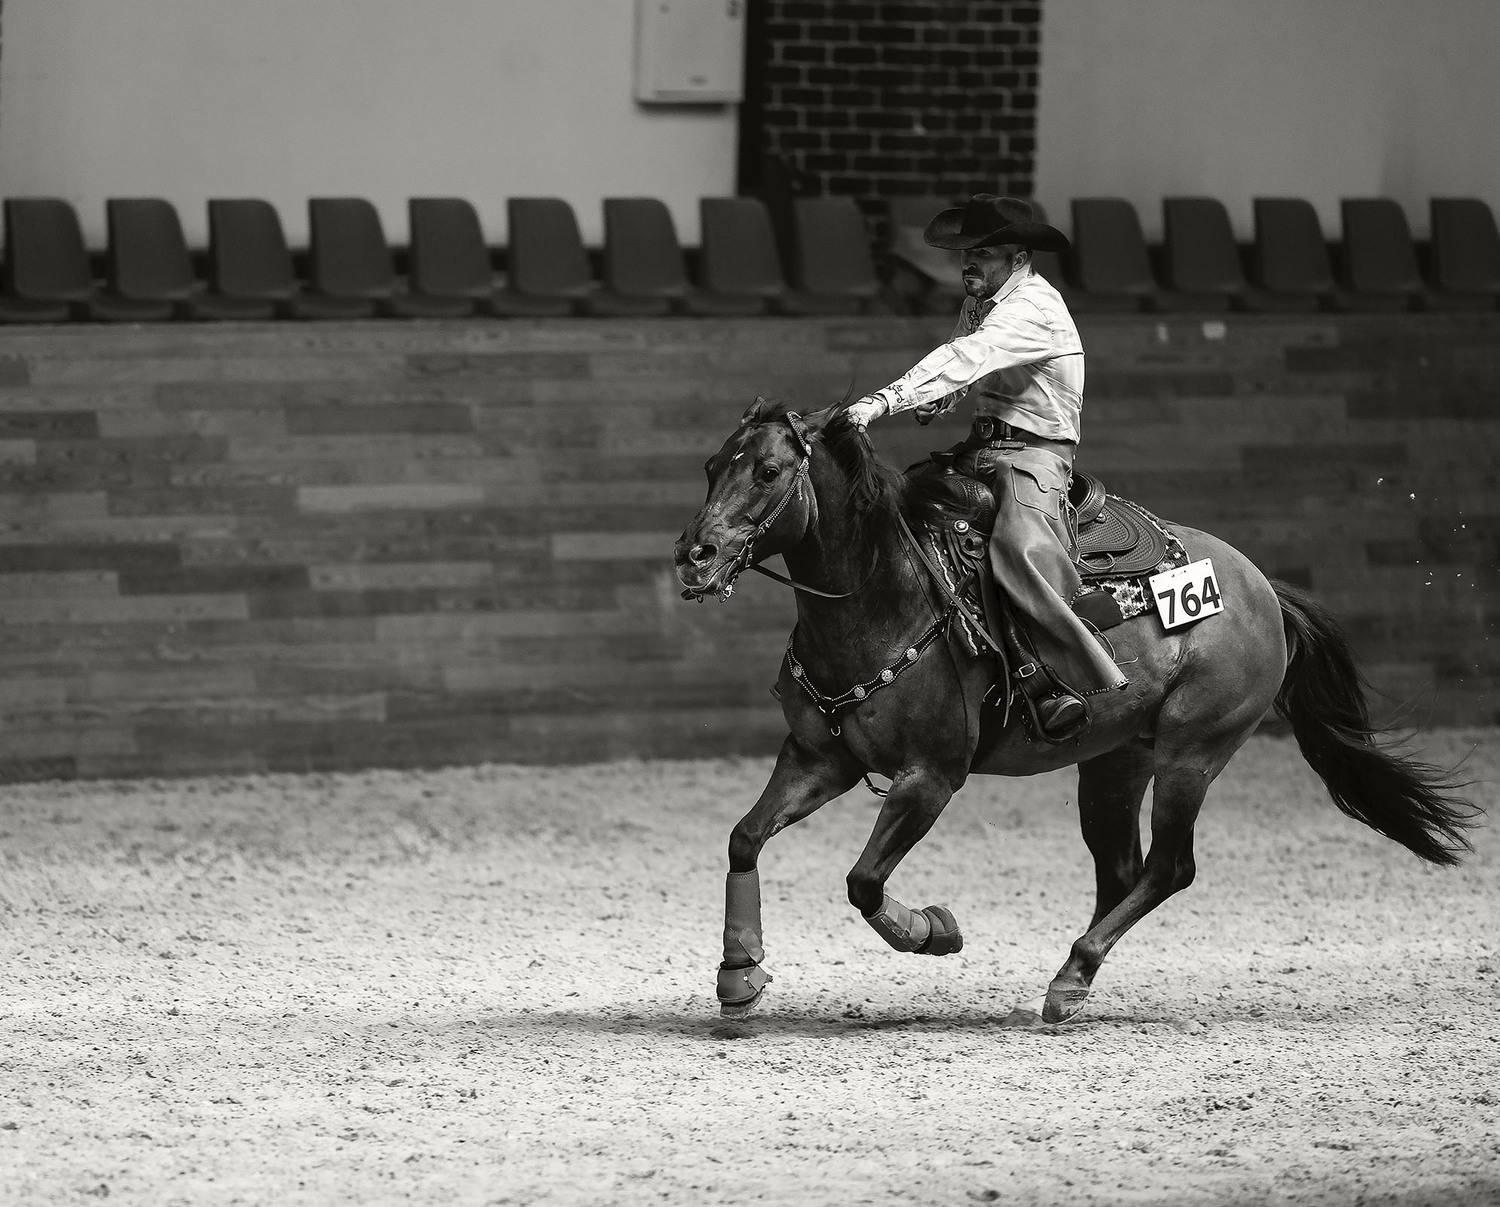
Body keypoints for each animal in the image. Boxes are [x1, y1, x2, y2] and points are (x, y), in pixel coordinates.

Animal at [672, 395, 1478, 1024]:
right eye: (712, 466)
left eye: (768, 472)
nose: (694, 556)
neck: (885, 594)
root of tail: (1261, 588)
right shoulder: (819, 758)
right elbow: (744, 838)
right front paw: (740, 971)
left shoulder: (931, 776)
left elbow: (864, 881)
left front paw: (935, 932)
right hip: (1116, 764)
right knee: (1122, 870)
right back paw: (1073, 976)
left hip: (1194, 753)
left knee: (1169, 866)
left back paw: (1072, 975)